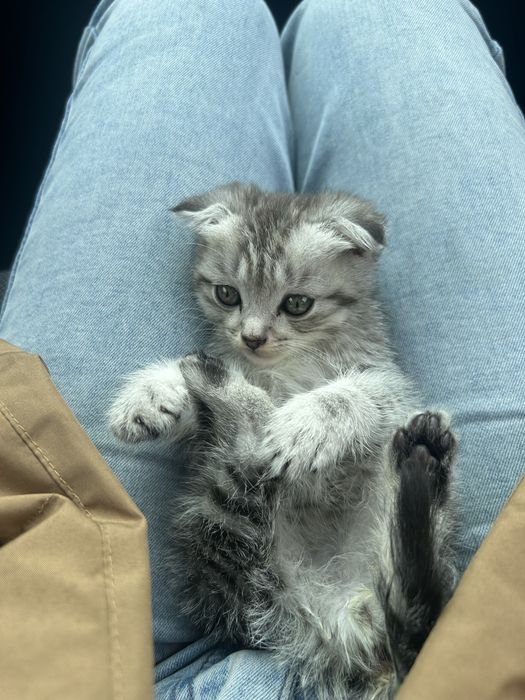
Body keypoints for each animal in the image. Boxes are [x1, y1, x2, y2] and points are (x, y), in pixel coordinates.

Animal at [109, 183, 458, 699]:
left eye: (296, 304)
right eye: (227, 294)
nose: (252, 337)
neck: (283, 368)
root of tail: (336, 620)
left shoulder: (389, 381)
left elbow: (354, 393)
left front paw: (305, 425)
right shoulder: (214, 409)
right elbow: (203, 403)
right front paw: (152, 390)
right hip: (221, 529)